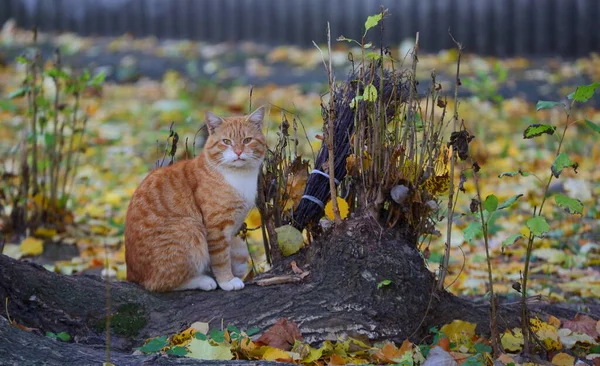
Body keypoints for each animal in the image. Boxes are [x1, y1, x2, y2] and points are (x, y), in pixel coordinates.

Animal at [124, 106, 264, 292]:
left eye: (247, 140)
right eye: (226, 141)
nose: (238, 152)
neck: (239, 176)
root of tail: (132, 275)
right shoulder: (216, 227)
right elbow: (220, 258)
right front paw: (226, 280)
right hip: (190, 227)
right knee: (159, 284)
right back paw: (203, 281)